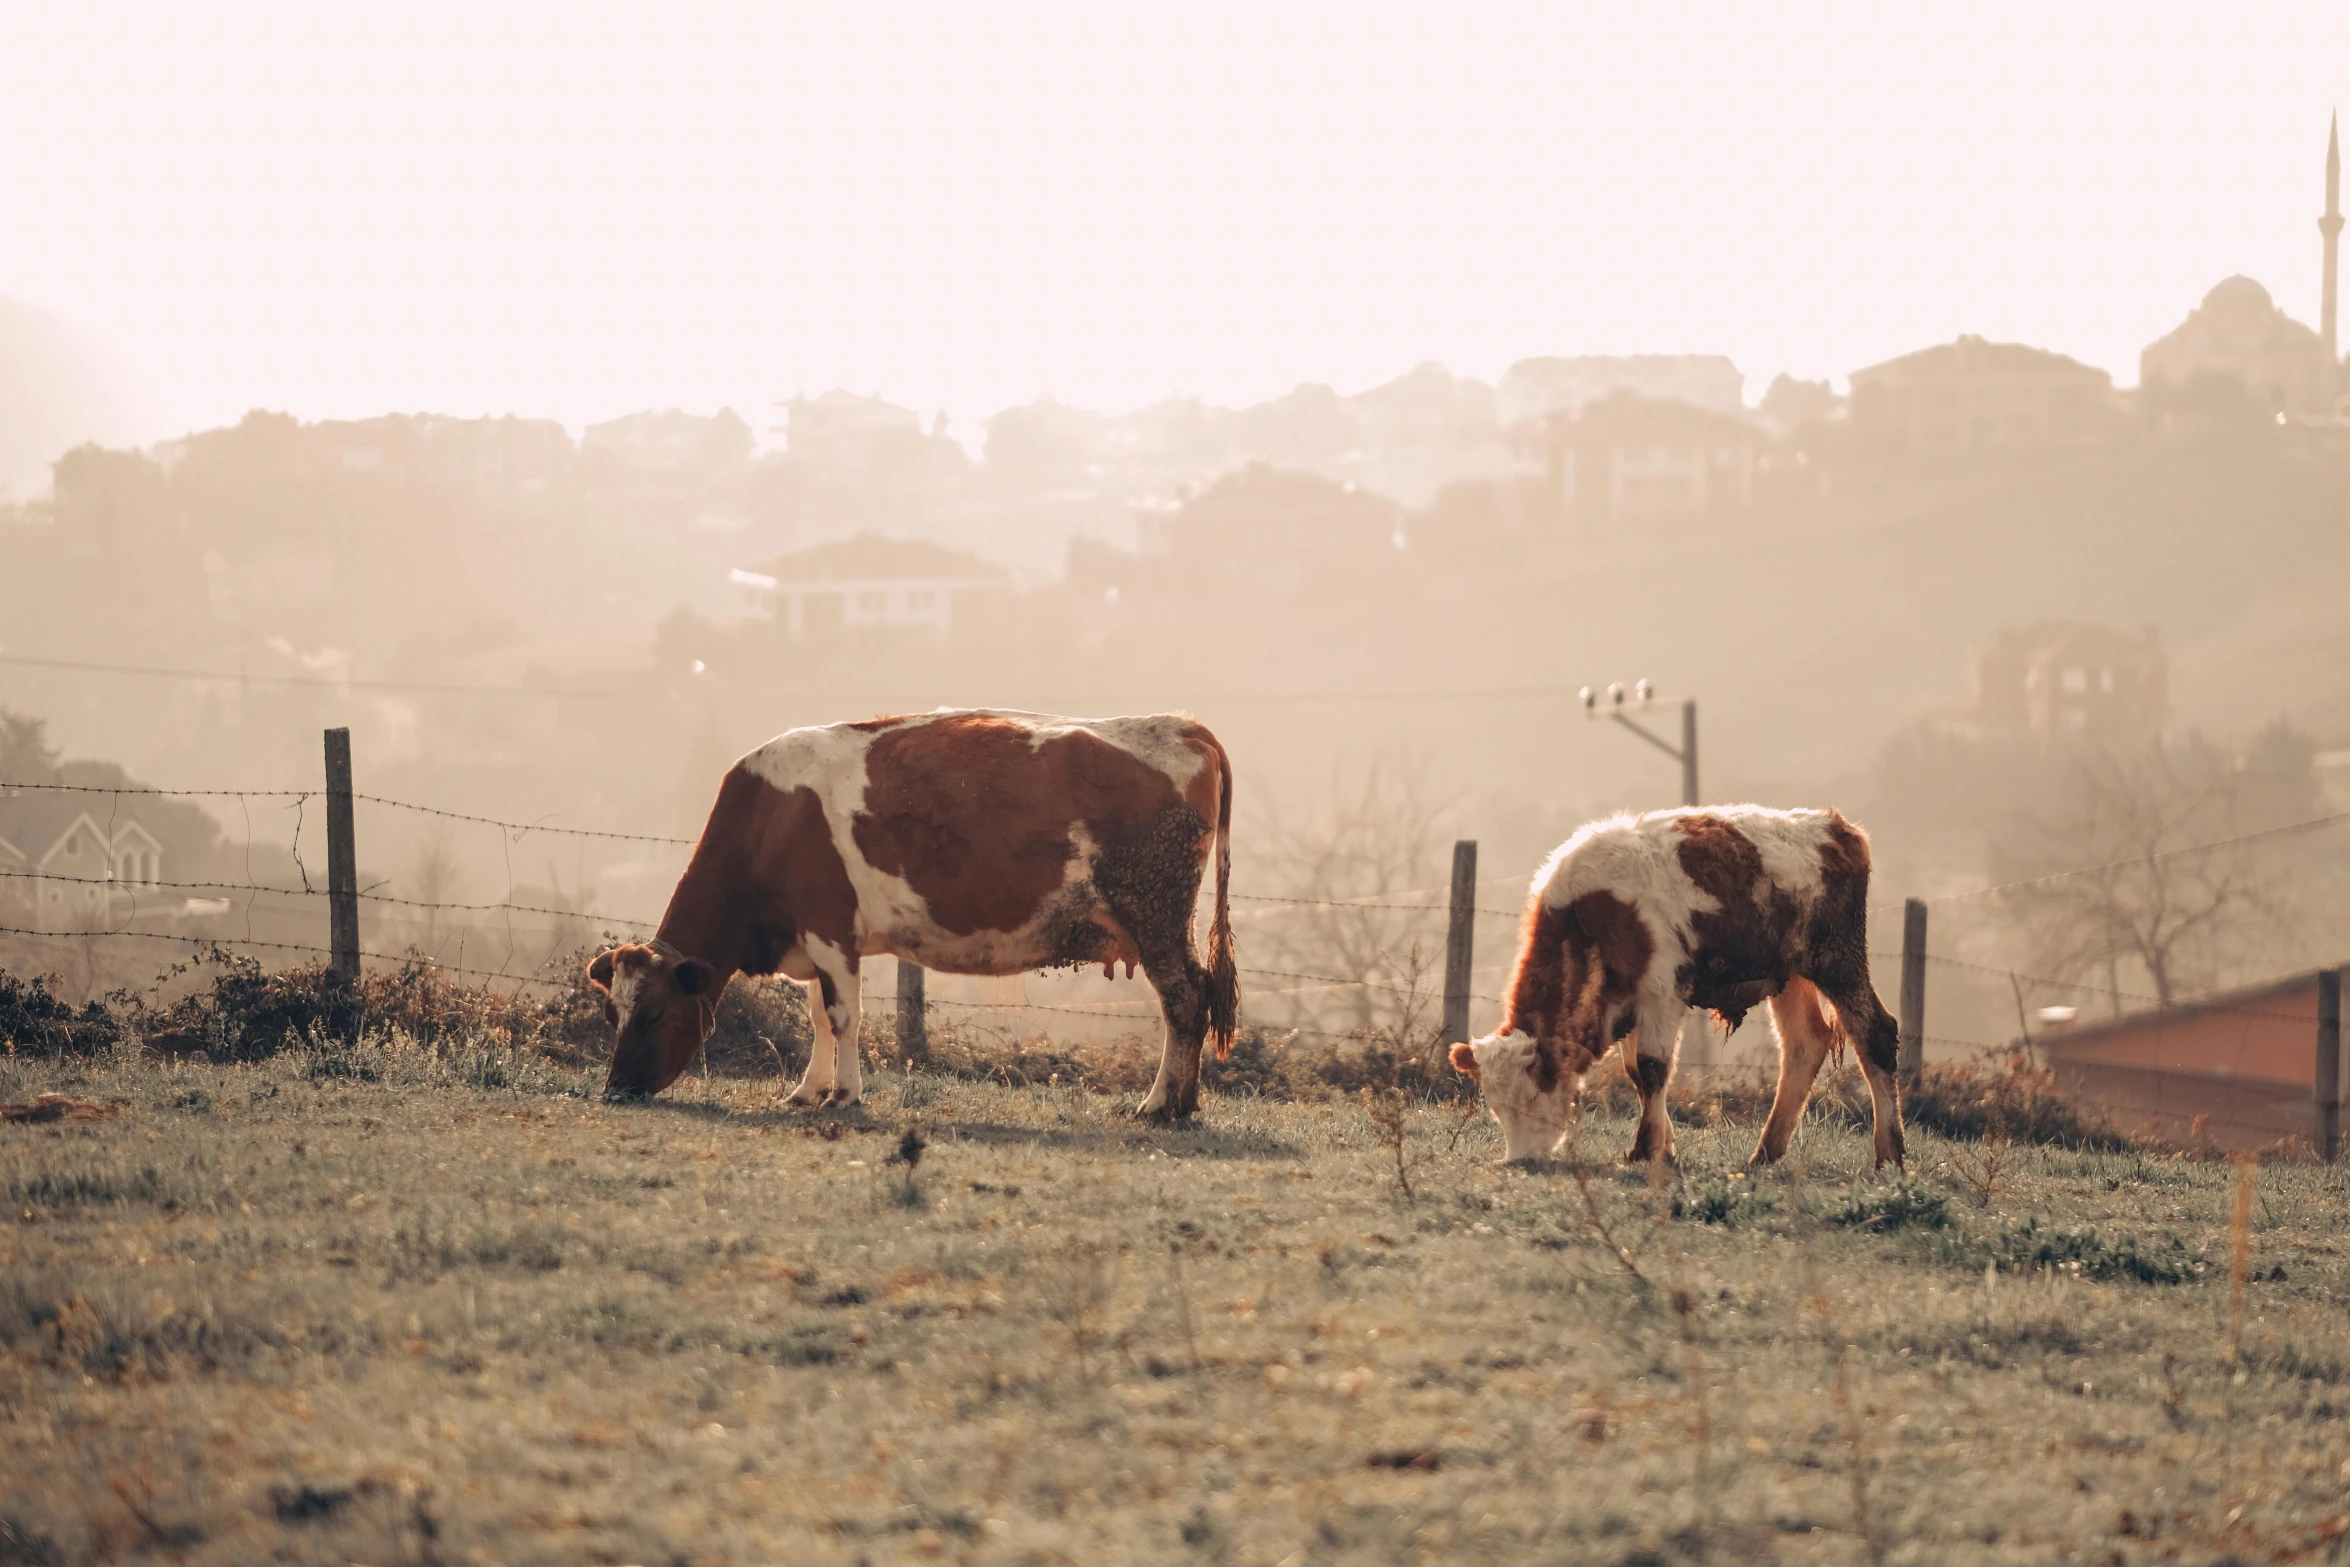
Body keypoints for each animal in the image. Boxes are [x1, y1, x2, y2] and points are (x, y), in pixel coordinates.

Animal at [587, 704, 1240, 1122]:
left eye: (651, 1014)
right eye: (610, 1014)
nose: (615, 1089)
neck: (770, 821)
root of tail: (1179, 724)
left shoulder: (830, 930)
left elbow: (843, 1017)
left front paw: (843, 1096)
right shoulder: (815, 939)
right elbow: (819, 1017)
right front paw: (806, 1092)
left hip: (1154, 912)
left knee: (1185, 1000)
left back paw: (1159, 1104)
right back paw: (1185, 1103)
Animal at [1428, 817, 1908, 1169]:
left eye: (1530, 1096)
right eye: (1494, 1104)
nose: (1521, 1160)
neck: (1592, 914)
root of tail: (1836, 826)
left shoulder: (1662, 989)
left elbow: (1653, 1067)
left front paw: (1643, 1151)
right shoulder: (1625, 1001)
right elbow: (1637, 1075)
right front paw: (1664, 1145)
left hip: (1838, 960)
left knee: (1876, 1034)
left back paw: (1890, 1155)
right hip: (1789, 974)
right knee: (1805, 1044)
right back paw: (1765, 1154)